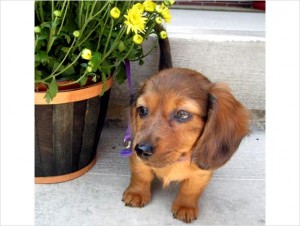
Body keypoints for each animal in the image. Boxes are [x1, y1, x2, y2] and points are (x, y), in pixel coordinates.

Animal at [120, 26, 250, 224]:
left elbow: (191, 189)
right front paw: (136, 193)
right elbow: (141, 175)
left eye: (182, 114)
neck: (176, 159)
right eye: (142, 110)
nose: (141, 149)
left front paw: (185, 207)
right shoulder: (136, 158)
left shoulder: (202, 173)